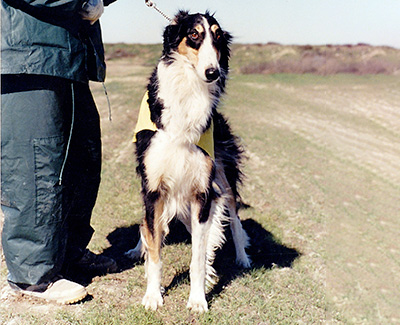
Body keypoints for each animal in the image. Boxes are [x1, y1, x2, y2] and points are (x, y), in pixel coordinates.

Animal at [126, 10, 250, 312]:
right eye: (194, 34)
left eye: (218, 37)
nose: (213, 72)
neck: (188, 92)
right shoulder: (153, 186)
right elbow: (155, 248)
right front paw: (153, 295)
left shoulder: (202, 191)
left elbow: (198, 257)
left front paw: (197, 299)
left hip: (224, 177)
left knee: (235, 218)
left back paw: (243, 257)